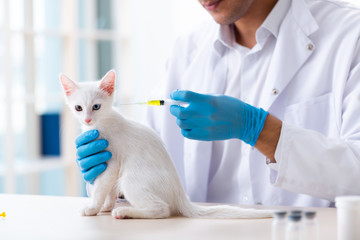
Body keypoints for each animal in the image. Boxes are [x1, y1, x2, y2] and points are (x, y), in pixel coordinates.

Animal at [59, 70, 272, 219]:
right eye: (78, 108)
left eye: (96, 107)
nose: (87, 120)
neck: (103, 124)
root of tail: (181, 196)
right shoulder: (105, 162)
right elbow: (109, 191)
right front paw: (105, 206)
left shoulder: (112, 162)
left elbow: (101, 188)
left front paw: (93, 207)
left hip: (130, 180)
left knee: (162, 210)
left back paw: (125, 212)